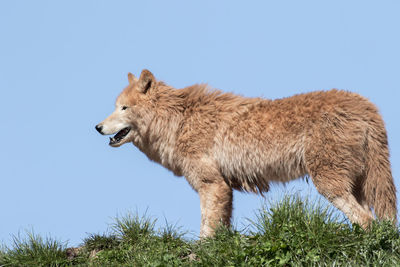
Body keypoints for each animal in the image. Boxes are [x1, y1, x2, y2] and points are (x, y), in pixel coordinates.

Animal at [96, 69, 396, 239]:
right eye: (115, 106)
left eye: (123, 108)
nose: (97, 127)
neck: (177, 121)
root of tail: (368, 107)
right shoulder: (224, 187)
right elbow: (220, 228)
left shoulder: (212, 184)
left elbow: (206, 229)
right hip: (357, 183)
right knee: (372, 218)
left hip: (328, 183)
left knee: (366, 220)